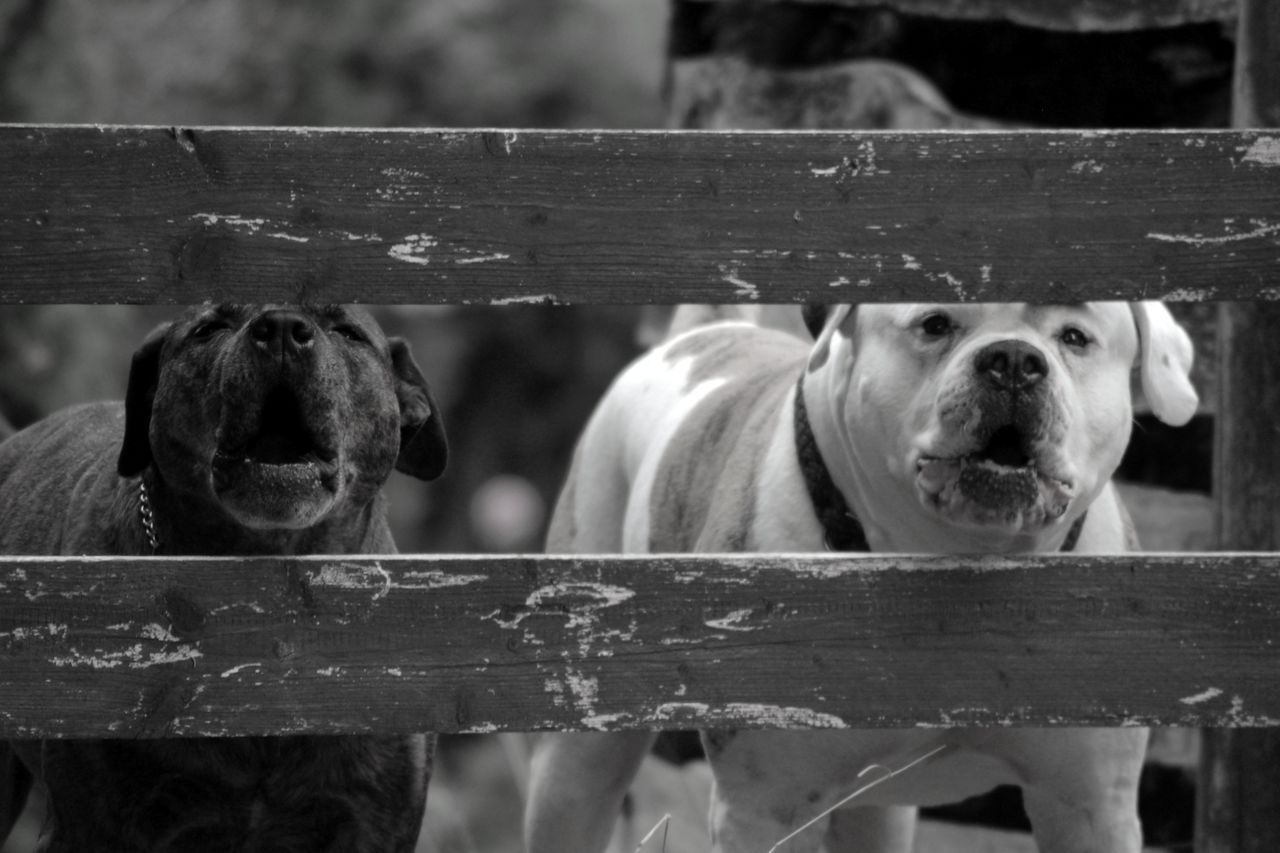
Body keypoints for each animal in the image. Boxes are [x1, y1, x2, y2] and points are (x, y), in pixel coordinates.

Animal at [527, 300, 1198, 850]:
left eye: (1075, 338)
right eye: (935, 324)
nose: (1013, 359)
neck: (958, 565)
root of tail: (703, 336)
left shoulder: (1091, 805)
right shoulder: (765, 807)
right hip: (576, 763)